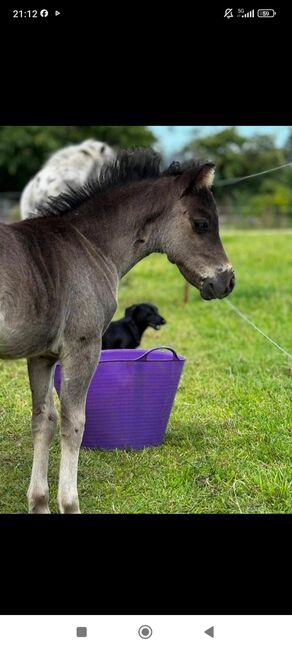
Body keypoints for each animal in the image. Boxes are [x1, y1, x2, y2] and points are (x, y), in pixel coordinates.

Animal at [0, 149, 234, 512]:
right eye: (202, 224)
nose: (228, 280)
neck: (88, 245)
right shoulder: (83, 348)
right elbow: (74, 423)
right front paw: (70, 503)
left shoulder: (41, 355)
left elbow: (43, 421)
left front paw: (39, 502)